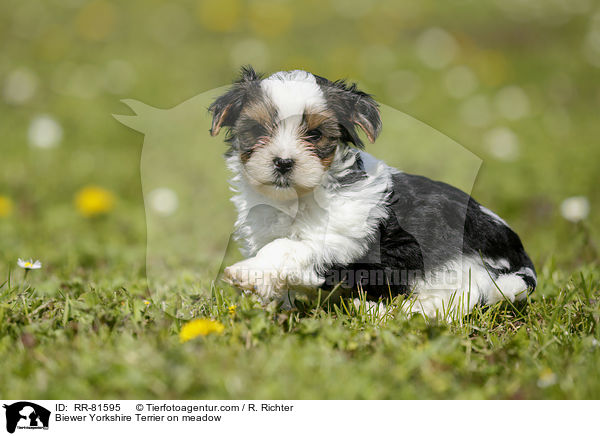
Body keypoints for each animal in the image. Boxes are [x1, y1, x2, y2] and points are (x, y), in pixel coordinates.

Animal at [209, 65, 536, 316]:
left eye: (315, 134)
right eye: (257, 131)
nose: (283, 162)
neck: (297, 199)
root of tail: (521, 261)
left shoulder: (341, 238)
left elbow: (288, 247)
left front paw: (246, 273)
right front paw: (267, 303)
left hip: (464, 271)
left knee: (444, 305)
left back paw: (381, 311)